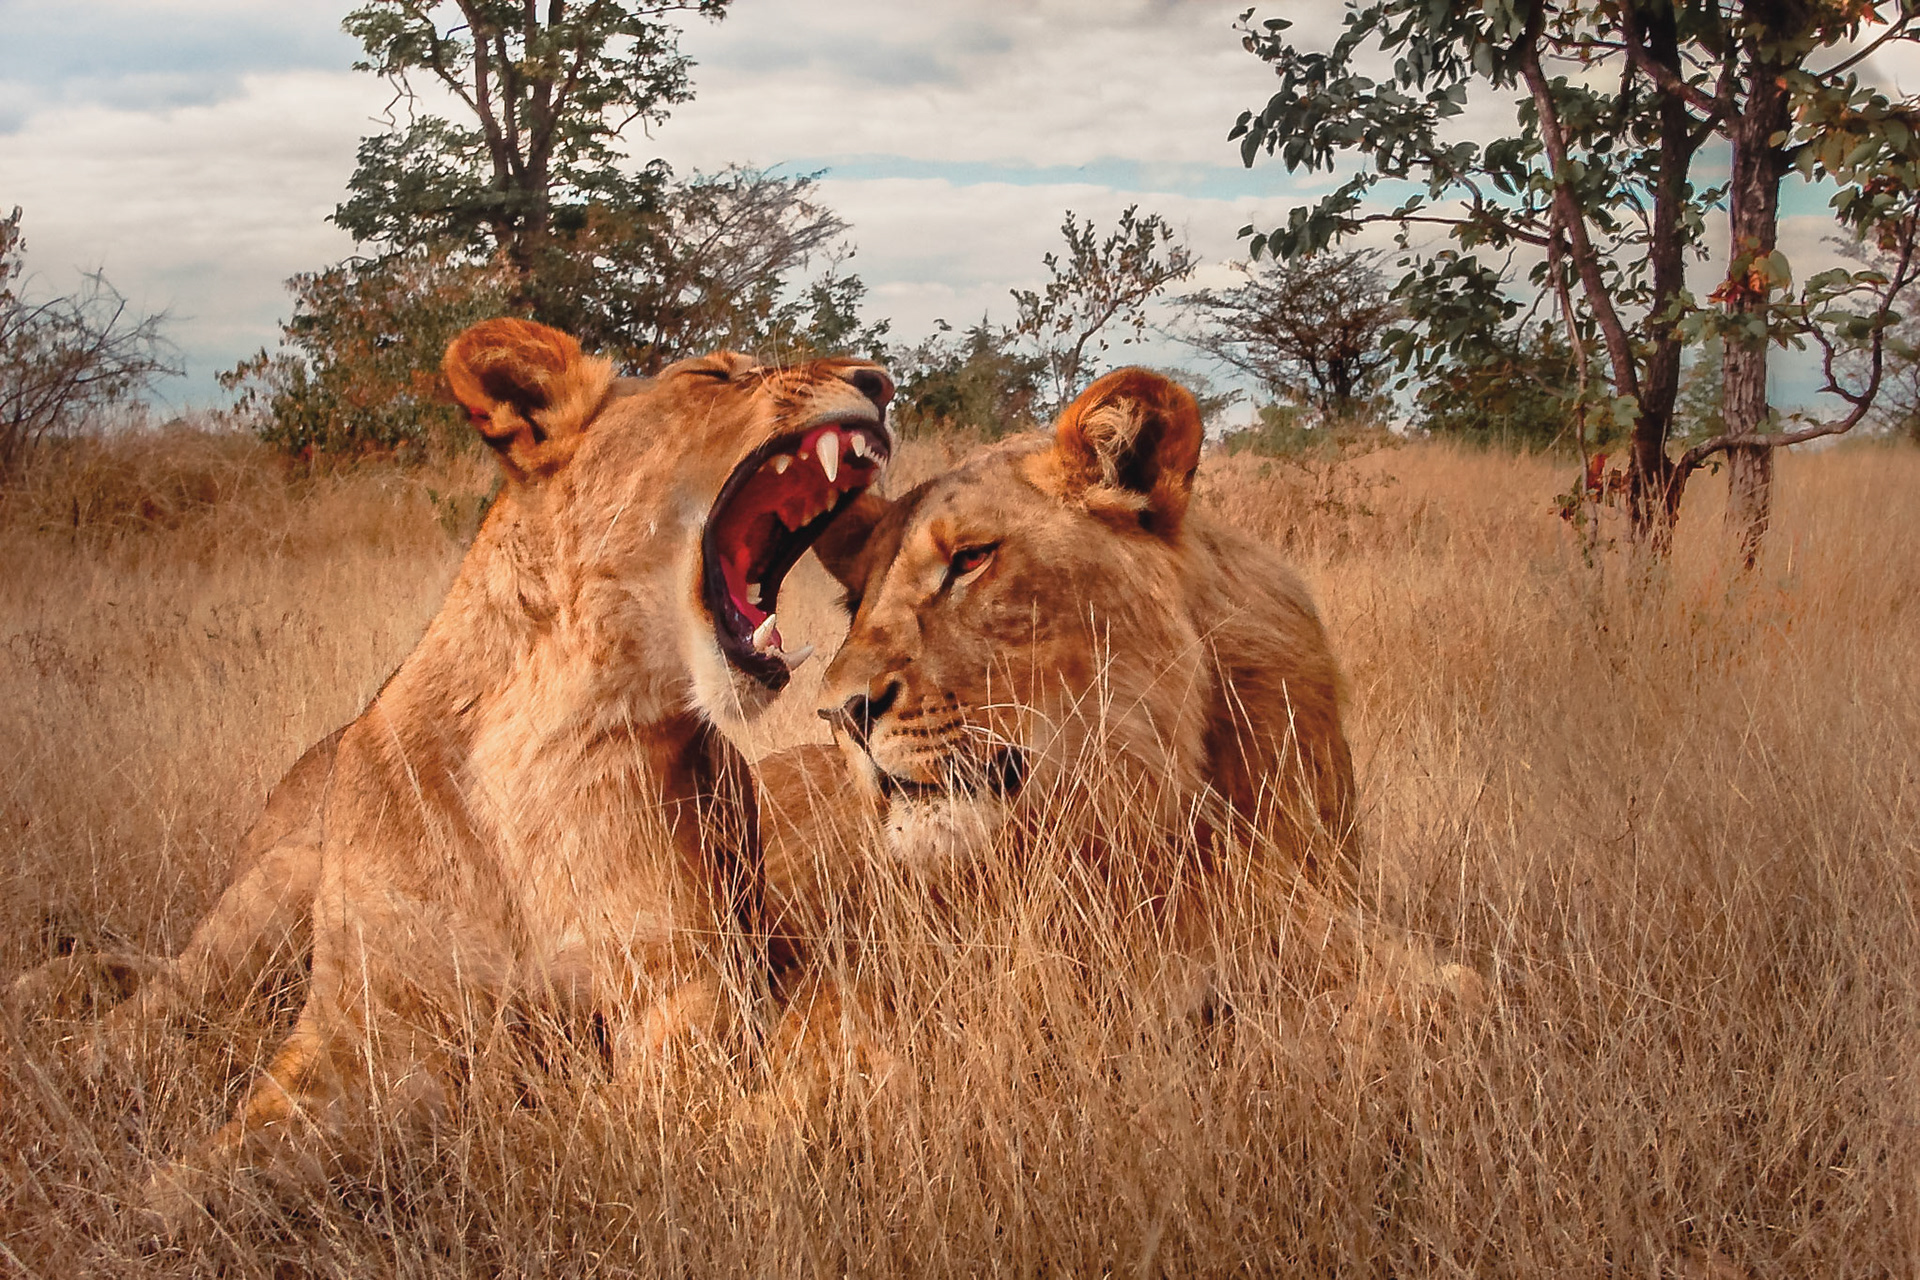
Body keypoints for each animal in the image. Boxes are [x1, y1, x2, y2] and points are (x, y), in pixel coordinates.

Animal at [121, 318, 895, 1231]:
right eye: (711, 376)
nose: (878, 380)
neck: (546, 732)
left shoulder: (685, 990)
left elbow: (586, 1125)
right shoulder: (357, 1026)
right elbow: (218, 1159)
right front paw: (140, 1210)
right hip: (268, 896)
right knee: (147, 994)